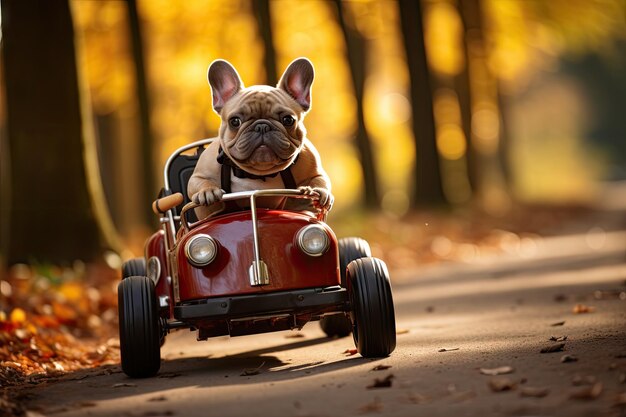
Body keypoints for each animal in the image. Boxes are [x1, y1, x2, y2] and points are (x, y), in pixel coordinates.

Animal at [186, 57, 332, 218]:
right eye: (234, 121)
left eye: (288, 120)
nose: (262, 126)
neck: (259, 174)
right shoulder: (201, 173)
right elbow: (199, 182)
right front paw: (207, 191)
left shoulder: (312, 166)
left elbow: (319, 179)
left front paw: (318, 191)